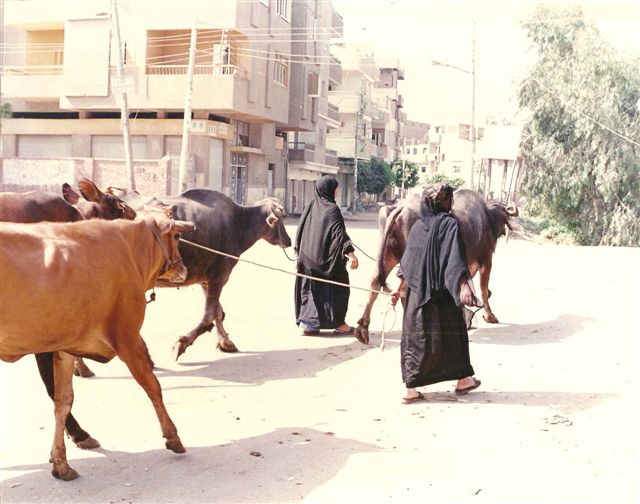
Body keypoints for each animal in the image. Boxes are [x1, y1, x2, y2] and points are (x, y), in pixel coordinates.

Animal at [0, 208, 195, 480]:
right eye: (177, 236)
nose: (184, 268)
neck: (130, 246)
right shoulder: (128, 337)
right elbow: (152, 385)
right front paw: (173, 437)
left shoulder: (66, 347)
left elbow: (63, 400)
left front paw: (61, 462)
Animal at [358, 187, 516, 344]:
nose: (504, 231)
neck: (487, 218)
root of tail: (400, 207)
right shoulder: (485, 259)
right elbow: (483, 289)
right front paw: (489, 316)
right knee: (404, 289)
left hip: (388, 255)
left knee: (375, 282)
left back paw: (363, 328)